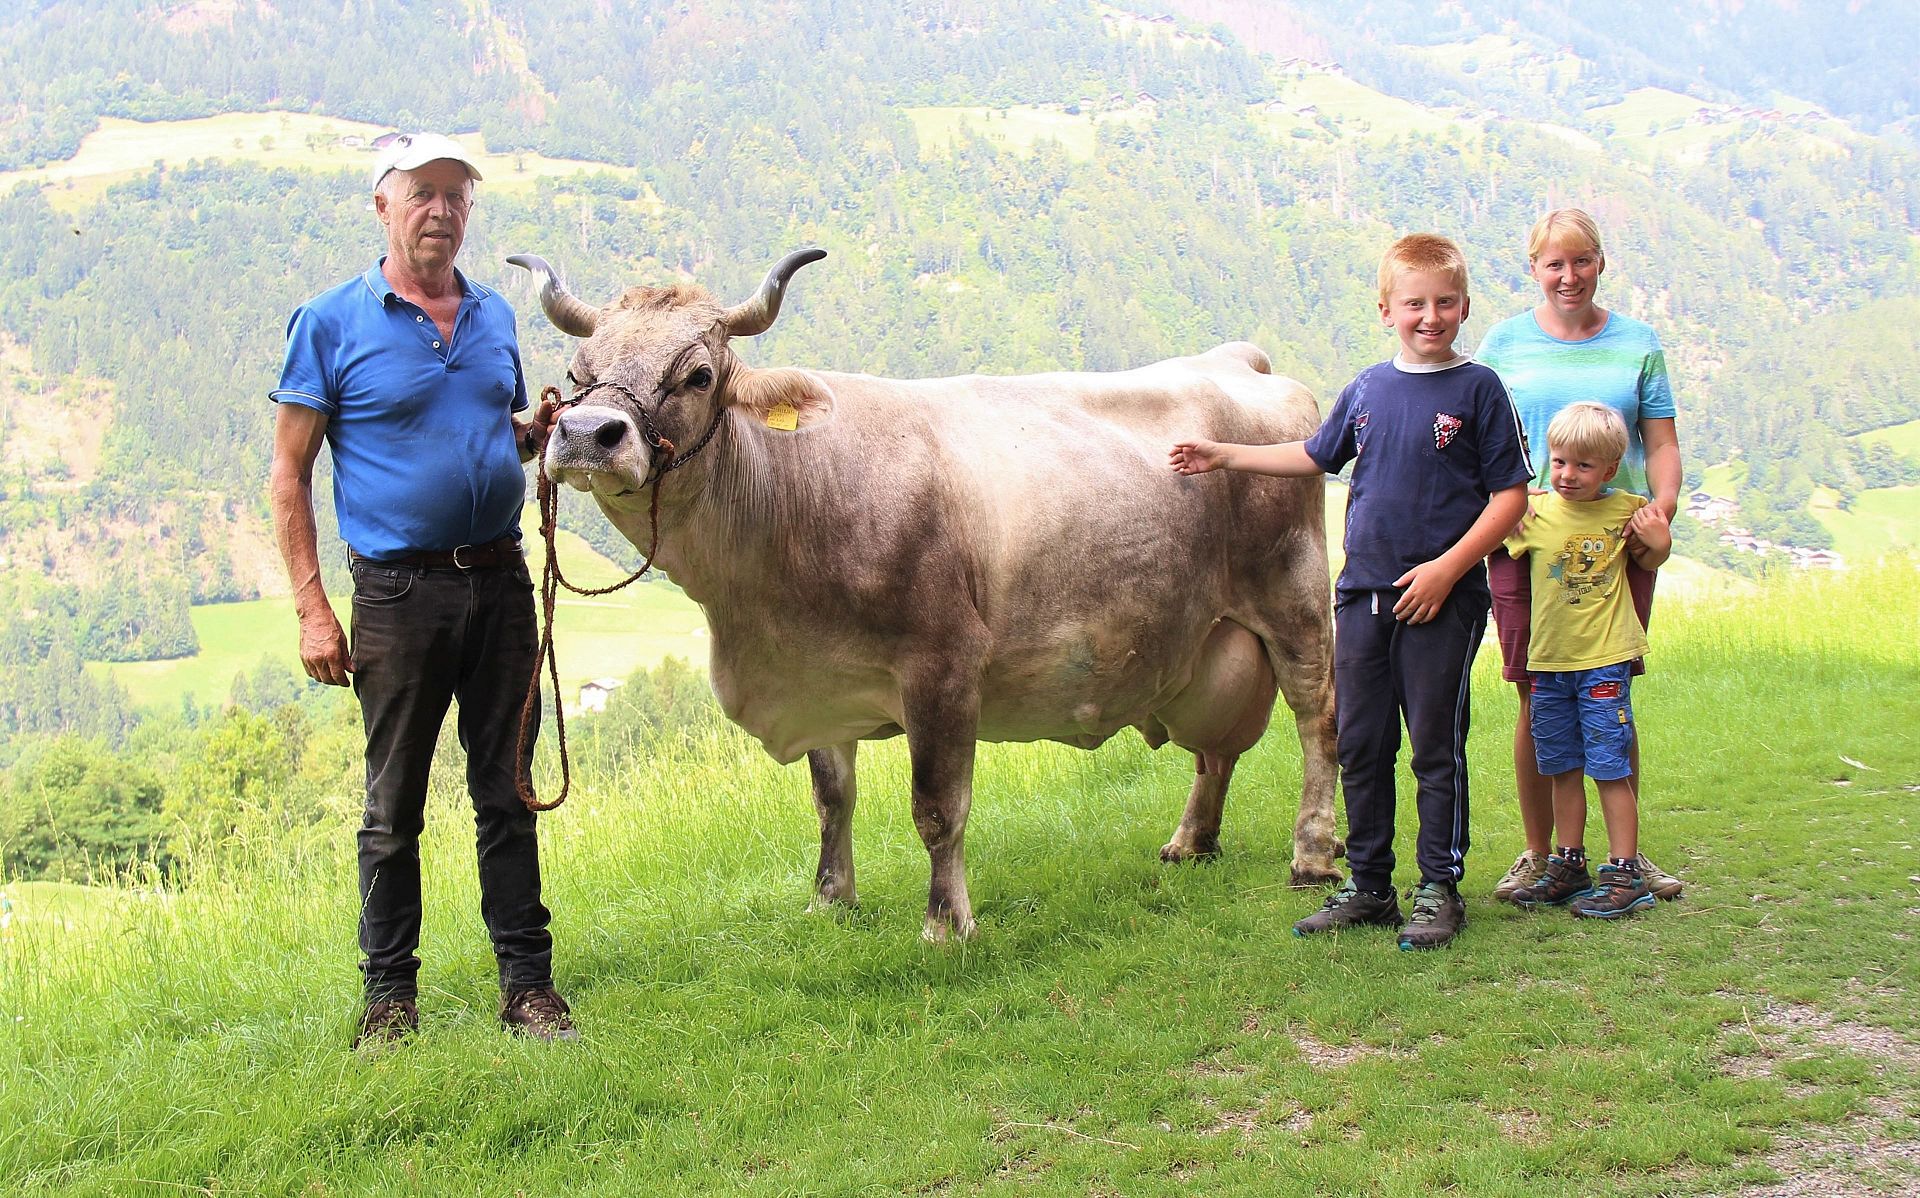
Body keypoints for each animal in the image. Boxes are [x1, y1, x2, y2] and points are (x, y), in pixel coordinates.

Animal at [518, 253, 1344, 940]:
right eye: (577, 368)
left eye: (696, 374)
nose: (588, 433)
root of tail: (1236, 359)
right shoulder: (819, 674)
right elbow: (832, 797)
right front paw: (831, 899)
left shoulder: (943, 666)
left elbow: (938, 808)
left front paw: (947, 924)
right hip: (1205, 632)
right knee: (1216, 749)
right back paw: (1190, 841)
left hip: (1295, 596)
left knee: (1316, 718)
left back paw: (1312, 854)